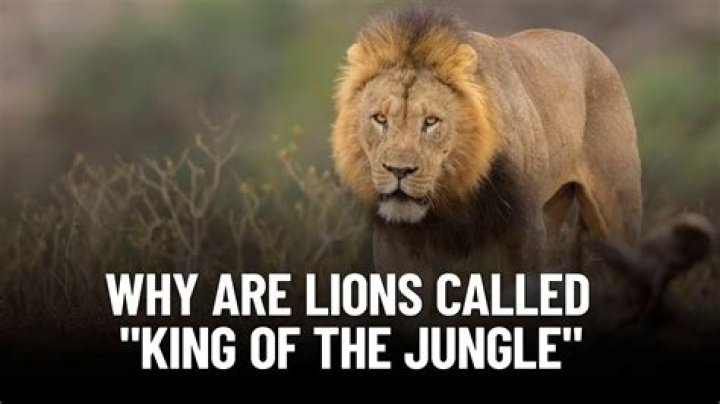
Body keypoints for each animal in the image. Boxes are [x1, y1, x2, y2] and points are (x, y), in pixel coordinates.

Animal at [331, 9, 642, 272]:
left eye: (431, 121)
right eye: (380, 118)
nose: (398, 170)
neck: (452, 191)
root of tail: (593, 47)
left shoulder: (524, 229)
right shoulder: (395, 238)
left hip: (615, 210)